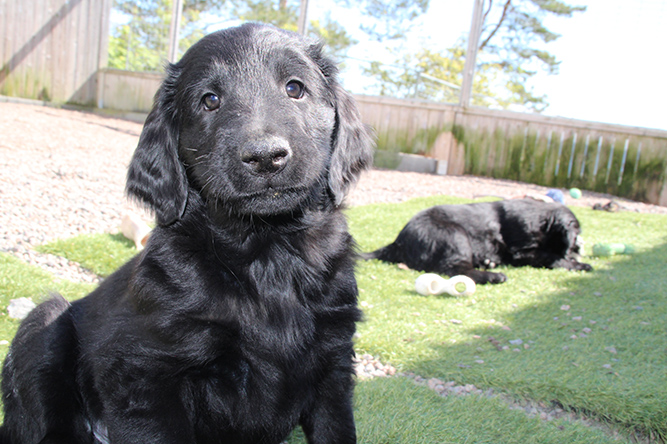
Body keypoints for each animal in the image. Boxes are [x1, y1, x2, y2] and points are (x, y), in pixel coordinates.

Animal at [0, 23, 373, 444]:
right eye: (210, 100)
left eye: (295, 88)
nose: (265, 156)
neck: (266, 252)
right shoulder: (142, 373)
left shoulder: (333, 362)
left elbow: (335, 427)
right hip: (43, 326)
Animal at [364, 198, 592, 284]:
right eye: (577, 235)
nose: (580, 248)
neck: (542, 219)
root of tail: (398, 241)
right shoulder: (523, 250)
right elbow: (551, 257)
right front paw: (581, 265)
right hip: (455, 235)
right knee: (455, 269)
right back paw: (494, 275)